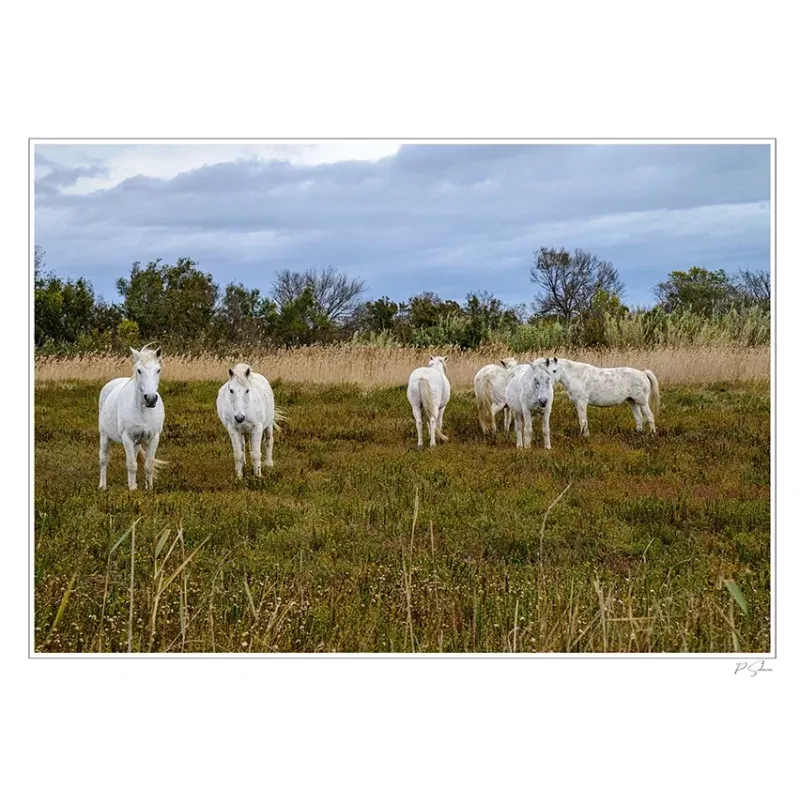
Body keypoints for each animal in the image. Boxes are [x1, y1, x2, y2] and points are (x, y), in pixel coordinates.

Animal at [98, 345, 166, 491]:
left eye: (158, 370)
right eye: (139, 370)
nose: (150, 398)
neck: (143, 410)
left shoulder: (154, 437)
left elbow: (148, 465)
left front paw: (148, 489)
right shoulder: (127, 437)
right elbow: (131, 465)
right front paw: (132, 490)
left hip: (137, 442)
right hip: (104, 436)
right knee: (104, 459)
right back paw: (102, 486)